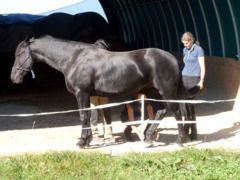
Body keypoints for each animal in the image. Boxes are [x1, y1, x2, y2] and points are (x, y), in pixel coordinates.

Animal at [10, 35, 188, 148]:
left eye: (19, 54)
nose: (14, 77)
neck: (73, 58)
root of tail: (172, 58)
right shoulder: (88, 95)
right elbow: (89, 117)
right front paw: (88, 140)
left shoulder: (81, 93)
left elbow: (84, 116)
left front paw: (82, 142)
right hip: (152, 92)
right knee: (161, 111)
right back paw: (149, 138)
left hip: (166, 91)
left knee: (176, 112)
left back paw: (180, 140)